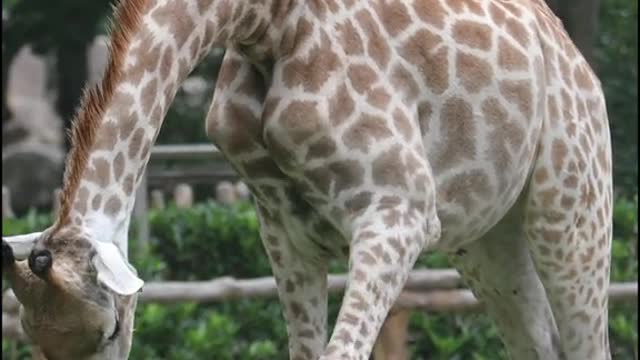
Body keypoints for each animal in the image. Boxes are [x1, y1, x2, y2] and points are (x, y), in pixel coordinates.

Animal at [0, 0, 612, 358]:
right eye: (32, 337)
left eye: (110, 329)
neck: (263, 21)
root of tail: (573, 55)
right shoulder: (284, 233)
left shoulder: (400, 212)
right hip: (487, 239)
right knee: (539, 340)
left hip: (572, 209)